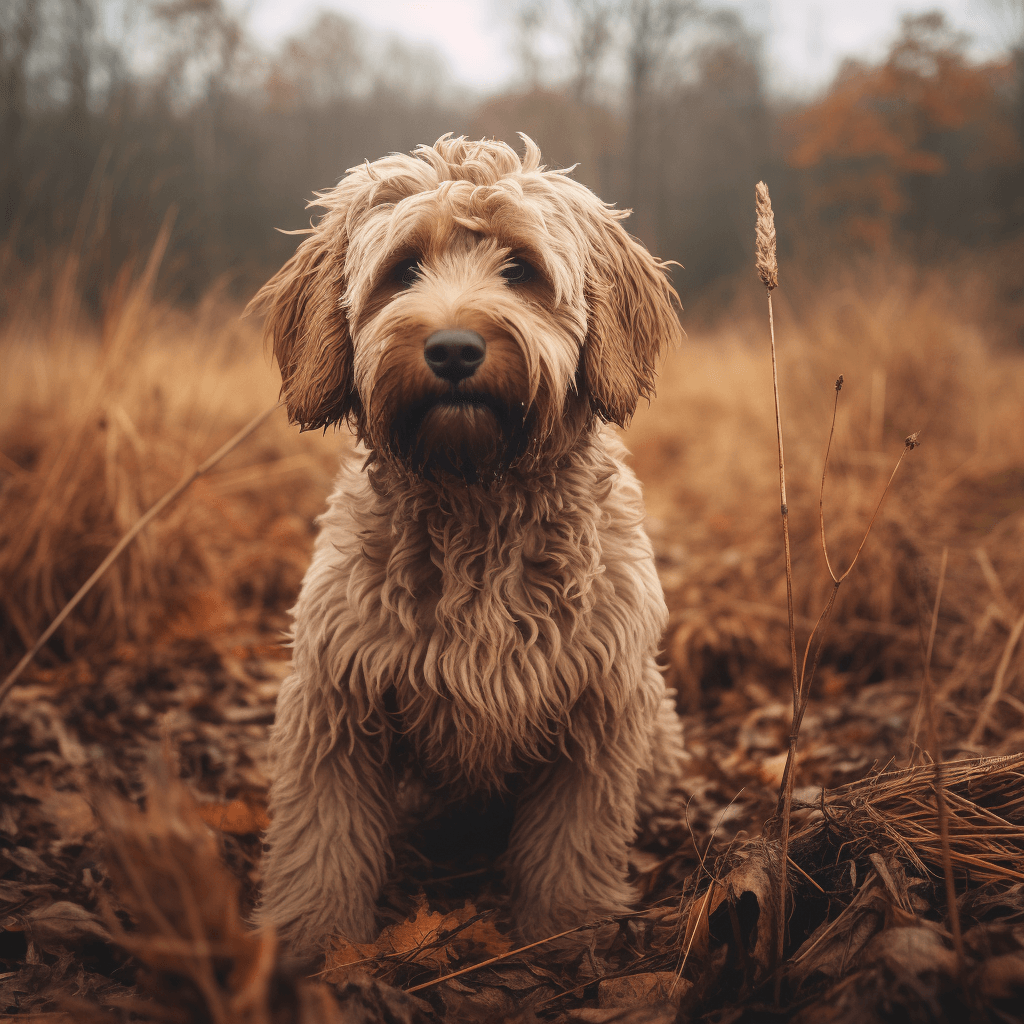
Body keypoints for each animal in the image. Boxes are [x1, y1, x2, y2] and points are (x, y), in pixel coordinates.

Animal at [247, 134, 684, 958]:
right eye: (402, 270)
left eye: (520, 269)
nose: (453, 349)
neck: (476, 501)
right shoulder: (335, 697)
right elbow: (322, 836)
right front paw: (315, 938)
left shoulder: (601, 704)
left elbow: (573, 837)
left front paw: (566, 927)